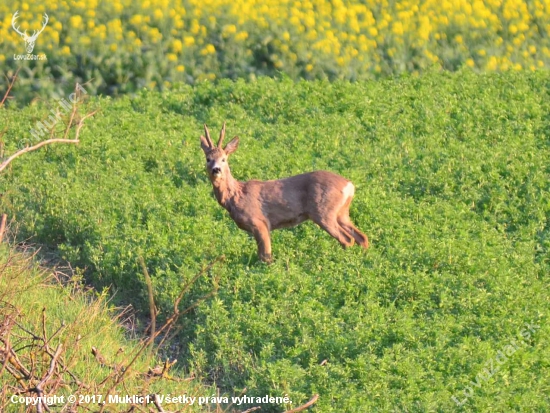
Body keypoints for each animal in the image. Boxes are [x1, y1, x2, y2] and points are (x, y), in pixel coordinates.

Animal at [201, 124, 368, 262]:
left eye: (224, 159)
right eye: (208, 159)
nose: (216, 170)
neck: (236, 196)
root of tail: (349, 185)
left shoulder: (259, 222)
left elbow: (265, 256)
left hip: (324, 212)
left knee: (347, 239)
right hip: (341, 212)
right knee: (361, 237)